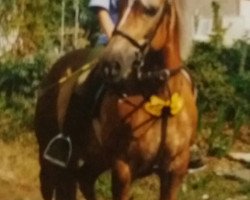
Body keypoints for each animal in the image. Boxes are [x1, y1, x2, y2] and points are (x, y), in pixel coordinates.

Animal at [35, 0, 196, 200]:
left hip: (95, 157)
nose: (111, 64)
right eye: (120, 6)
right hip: (49, 154)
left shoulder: (175, 172)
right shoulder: (123, 168)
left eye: (151, 10)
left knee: (82, 178)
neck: (161, 100)